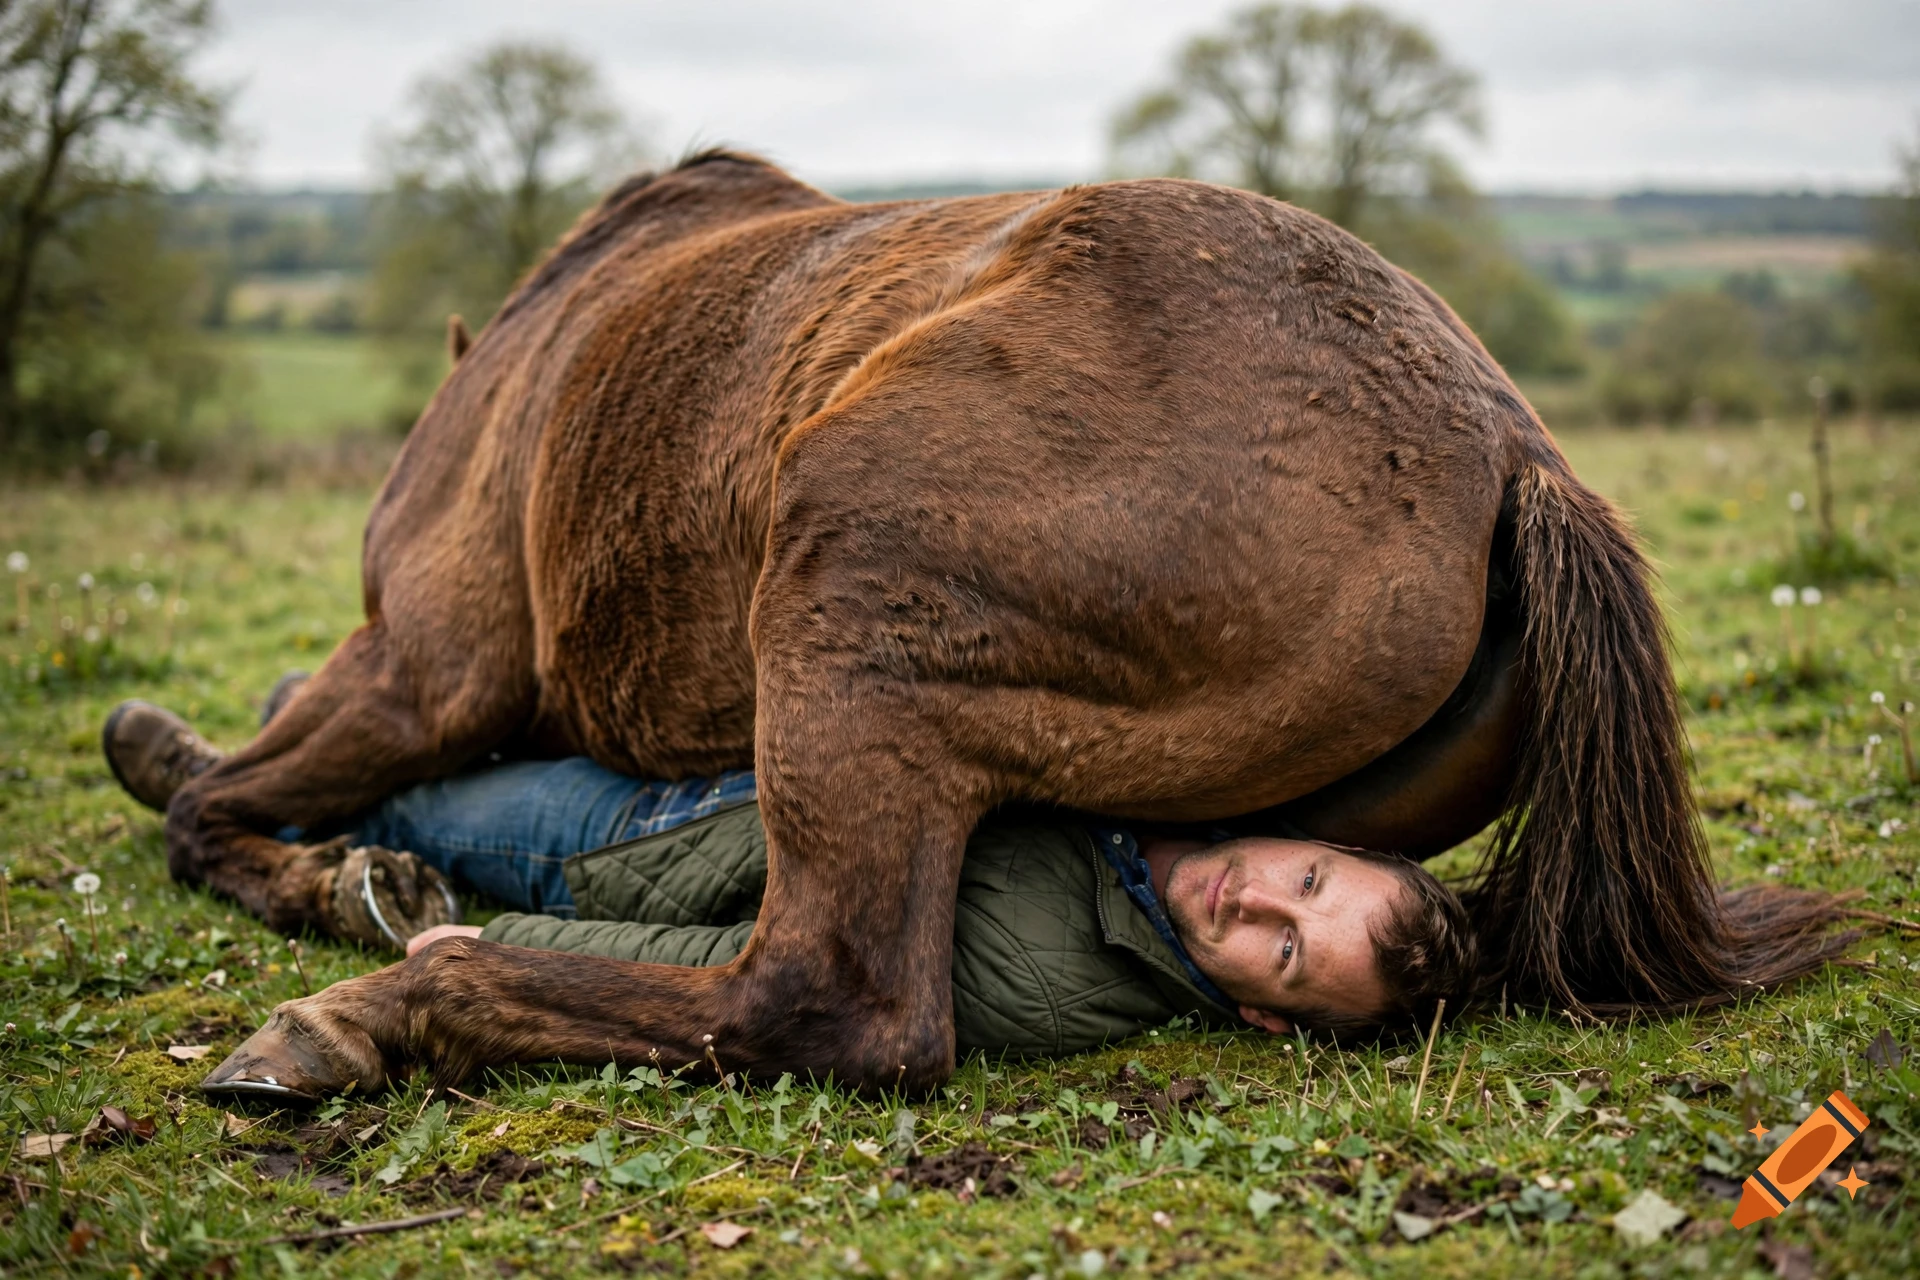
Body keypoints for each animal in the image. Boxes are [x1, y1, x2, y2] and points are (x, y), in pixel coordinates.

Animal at [176, 152, 1846, 1097]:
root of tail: (1511, 454)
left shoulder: (419, 670)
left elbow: (210, 816)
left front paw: (334, 883)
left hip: (846, 612)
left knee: (830, 1006)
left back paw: (387, 1007)